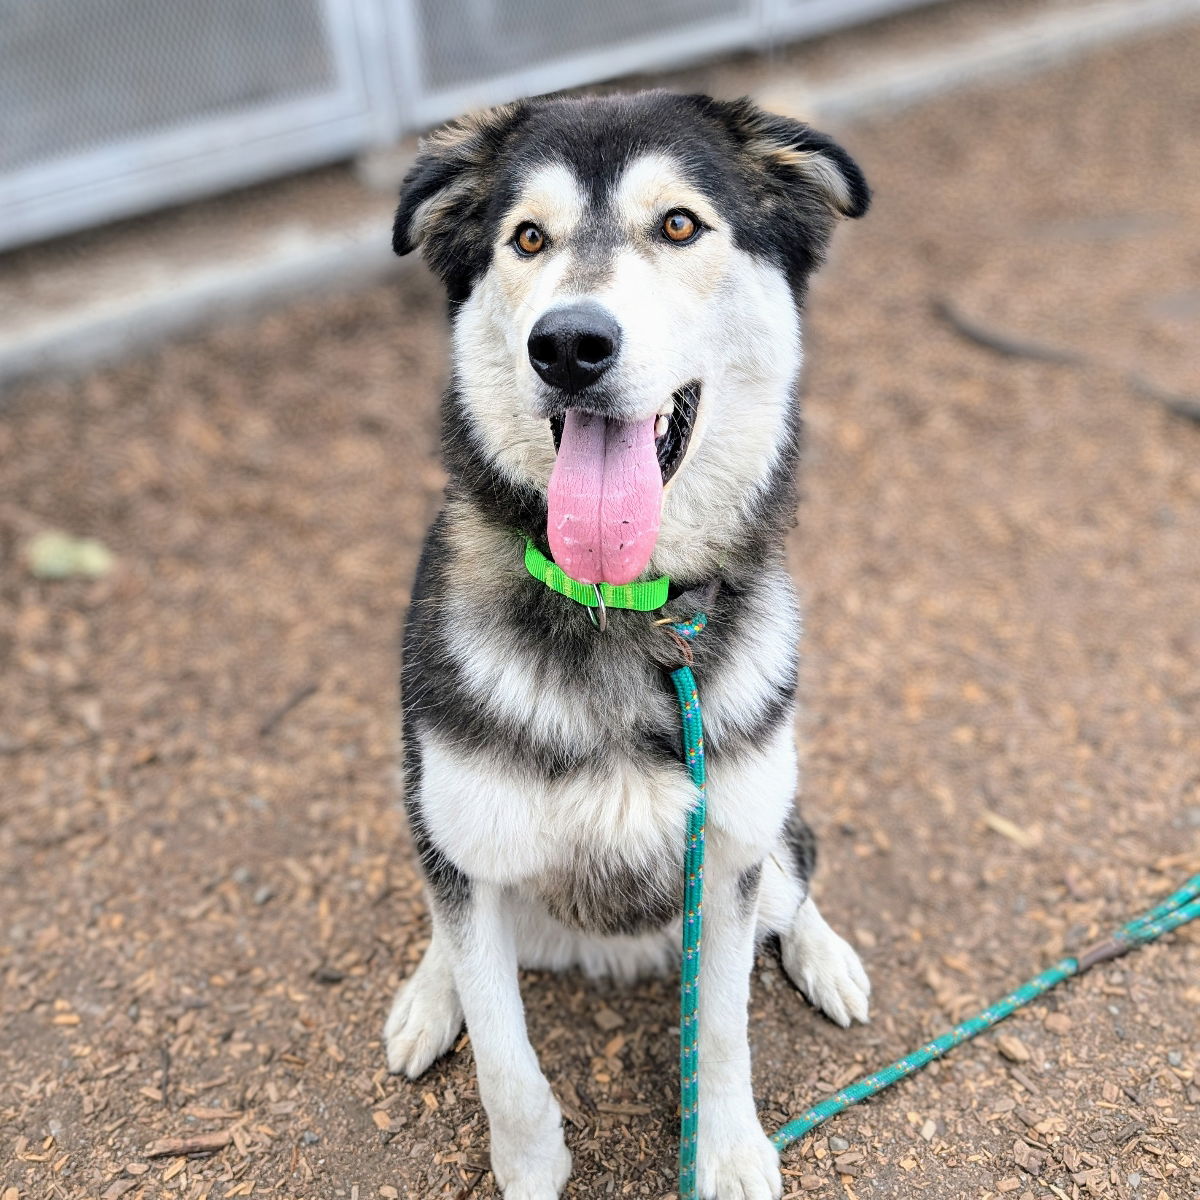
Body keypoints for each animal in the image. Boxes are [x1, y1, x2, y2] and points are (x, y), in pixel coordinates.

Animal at [384, 88, 873, 1195]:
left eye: (680, 224)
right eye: (527, 238)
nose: (568, 344)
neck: (628, 611)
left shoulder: (723, 857)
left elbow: (724, 1028)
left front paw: (725, 1154)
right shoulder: (471, 854)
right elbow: (505, 1062)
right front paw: (529, 1168)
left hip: (767, 825)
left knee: (796, 874)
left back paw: (826, 956)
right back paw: (429, 994)